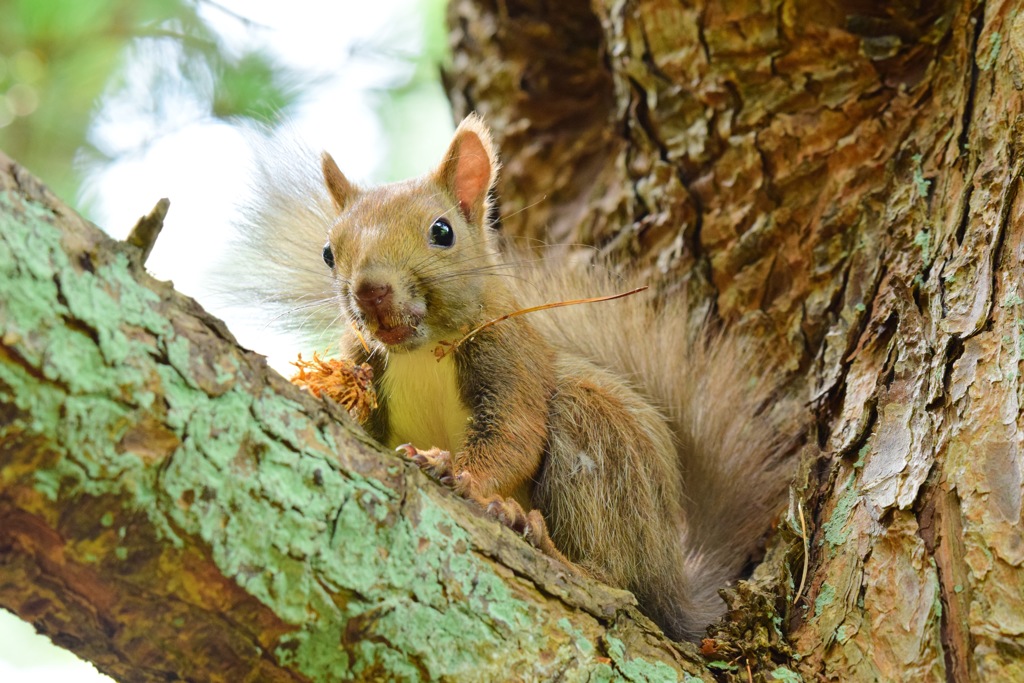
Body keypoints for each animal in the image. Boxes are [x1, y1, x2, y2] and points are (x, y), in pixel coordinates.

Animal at [228, 113, 794, 643]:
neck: (419, 353)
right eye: (329, 252)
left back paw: (548, 544)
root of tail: (673, 579)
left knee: (619, 580)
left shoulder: (512, 361)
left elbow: (513, 438)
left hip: (598, 441)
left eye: (442, 232)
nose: (370, 290)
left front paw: (455, 471)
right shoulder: (366, 360)